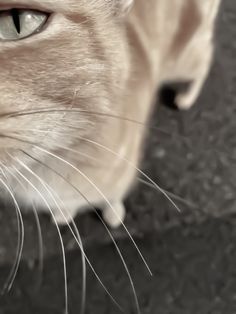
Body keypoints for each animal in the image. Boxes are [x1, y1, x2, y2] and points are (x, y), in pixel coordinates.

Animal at [0, 0, 221, 229]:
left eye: (17, 21)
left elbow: (112, 198)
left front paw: (113, 214)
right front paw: (64, 213)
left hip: (183, 61)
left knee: (205, 60)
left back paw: (186, 98)